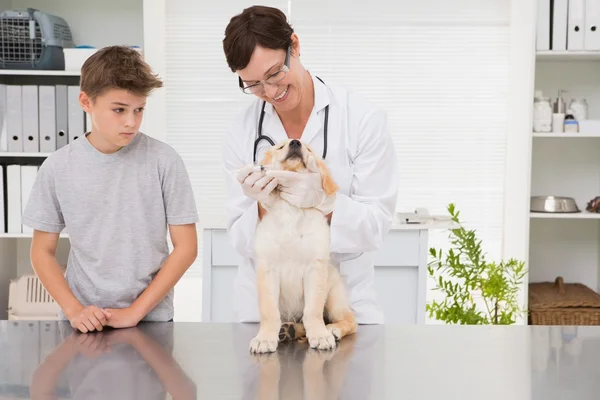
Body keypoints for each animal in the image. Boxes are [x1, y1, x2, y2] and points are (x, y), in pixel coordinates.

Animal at [248, 138, 356, 354]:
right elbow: (269, 311)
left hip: (335, 297)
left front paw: (320, 335)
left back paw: (332, 330)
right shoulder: (267, 269)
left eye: (308, 149)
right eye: (280, 147)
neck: (292, 209)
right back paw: (288, 330)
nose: (295, 143)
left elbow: (313, 311)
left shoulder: (315, 269)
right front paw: (264, 338)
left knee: (350, 320)